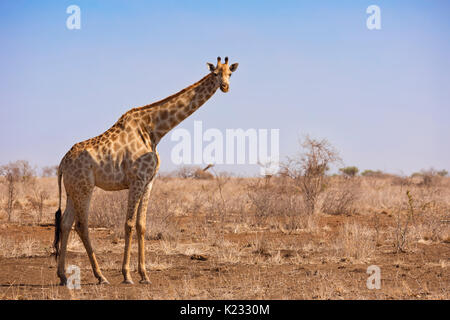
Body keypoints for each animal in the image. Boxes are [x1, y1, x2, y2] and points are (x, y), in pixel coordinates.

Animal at [53, 56, 239, 284]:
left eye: (229, 73)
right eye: (215, 73)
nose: (225, 86)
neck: (154, 130)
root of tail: (62, 163)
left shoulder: (149, 181)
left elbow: (142, 225)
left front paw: (144, 274)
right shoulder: (137, 180)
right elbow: (129, 224)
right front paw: (127, 274)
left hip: (72, 190)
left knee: (65, 223)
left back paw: (63, 276)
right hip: (85, 188)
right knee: (81, 225)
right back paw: (100, 276)